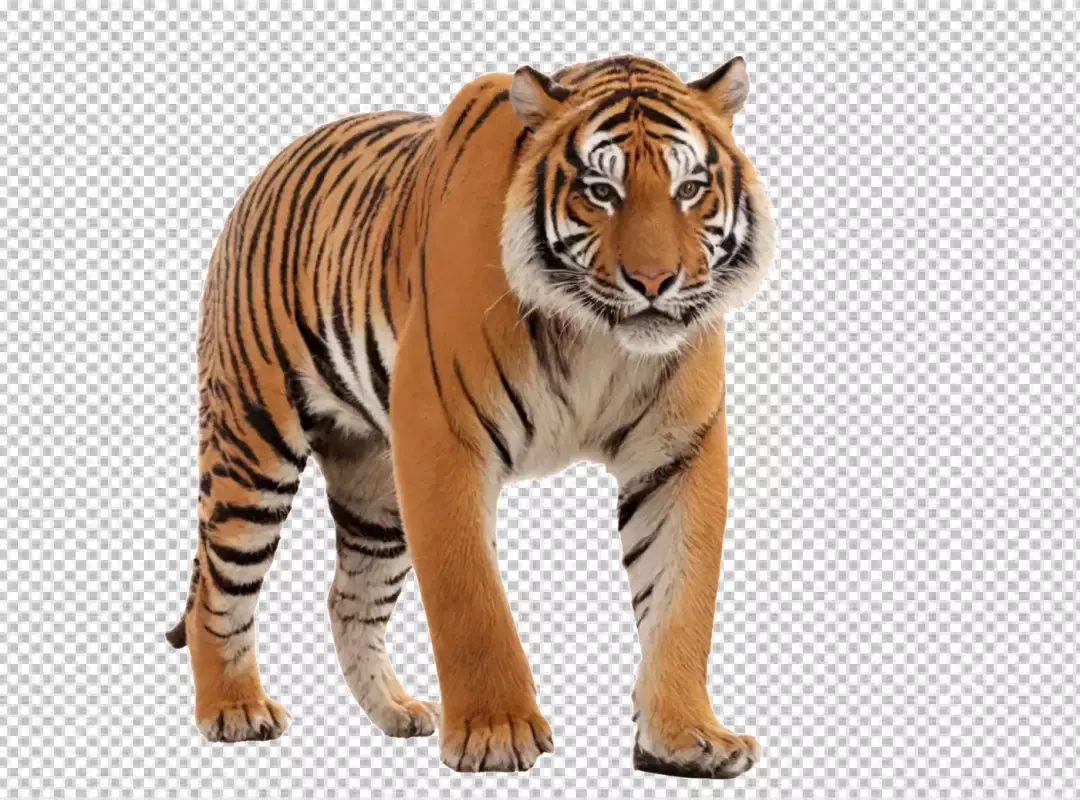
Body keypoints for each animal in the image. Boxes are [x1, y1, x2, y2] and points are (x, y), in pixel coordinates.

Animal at [166, 53, 775, 779]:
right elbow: (471, 600)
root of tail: (267, 170)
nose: (655, 283)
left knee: (348, 597)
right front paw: (496, 732)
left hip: (376, 488)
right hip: (253, 445)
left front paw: (687, 737)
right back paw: (234, 710)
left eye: (690, 190)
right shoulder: (444, 439)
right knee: (218, 586)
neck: (597, 338)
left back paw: (396, 711)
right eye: (600, 191)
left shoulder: (679, 452)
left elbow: (681, 601)